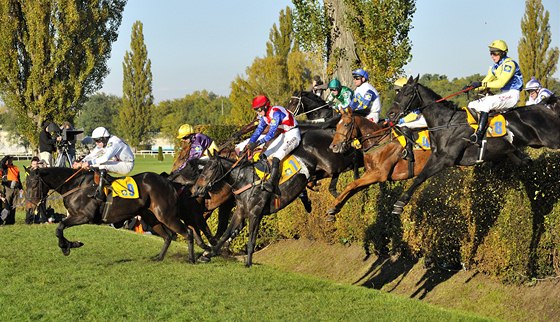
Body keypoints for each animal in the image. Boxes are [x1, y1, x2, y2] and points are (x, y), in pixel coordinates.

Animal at [26, 167, 200, 262]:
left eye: (34, 184)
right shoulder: (73, 215)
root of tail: (169, 182)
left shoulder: (85, 216)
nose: (30, 205)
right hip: (151, 217)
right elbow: (60, 228)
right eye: (26, 184)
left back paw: (191, 259)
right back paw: (159, 257)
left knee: (188, 232)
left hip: (166, 216)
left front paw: (68, 246)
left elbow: (60, 227)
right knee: (168, 236)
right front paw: (70, 244)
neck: (76, 185)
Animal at [388, 76, 560, 216]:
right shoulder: (436, 156)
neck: (446, 123)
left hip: (552, 138)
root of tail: (545, 107)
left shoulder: (445, 159)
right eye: (398, 92)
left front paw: (399, 203)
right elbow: (420, 176)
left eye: (408, 93)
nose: (390, 114)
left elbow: (420, 177)